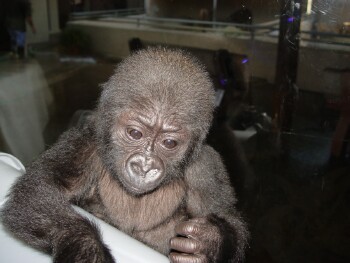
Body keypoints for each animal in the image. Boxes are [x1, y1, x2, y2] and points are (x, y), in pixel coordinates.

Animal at [1, 48, 247, 263]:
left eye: (169, 143)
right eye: (135, 134)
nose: (145, 167)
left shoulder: (206, 168)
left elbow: (228, 218)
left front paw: (211, 241)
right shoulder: (84, 142)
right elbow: (39, 189)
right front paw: (87, 248)